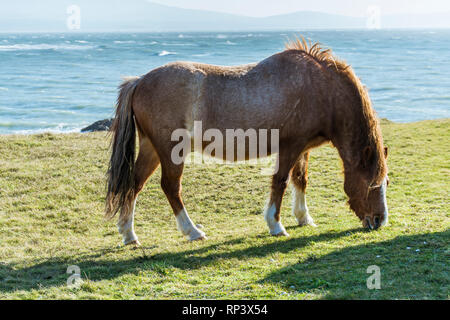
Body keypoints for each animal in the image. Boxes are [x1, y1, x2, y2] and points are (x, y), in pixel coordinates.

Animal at [106, 38, 390, 248]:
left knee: (134, 184)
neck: (320, 89)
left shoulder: (303, 148)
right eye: (371, 183)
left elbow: (300, 180)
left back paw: (129, 234)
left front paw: (303, 217)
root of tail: (139, 81)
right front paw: (276, 225)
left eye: (385, 182)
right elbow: (281, 181)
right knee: (171, 187)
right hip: (171, 150)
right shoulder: (289, 146)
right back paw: (192, 231)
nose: (379, 220)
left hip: (151, 148)